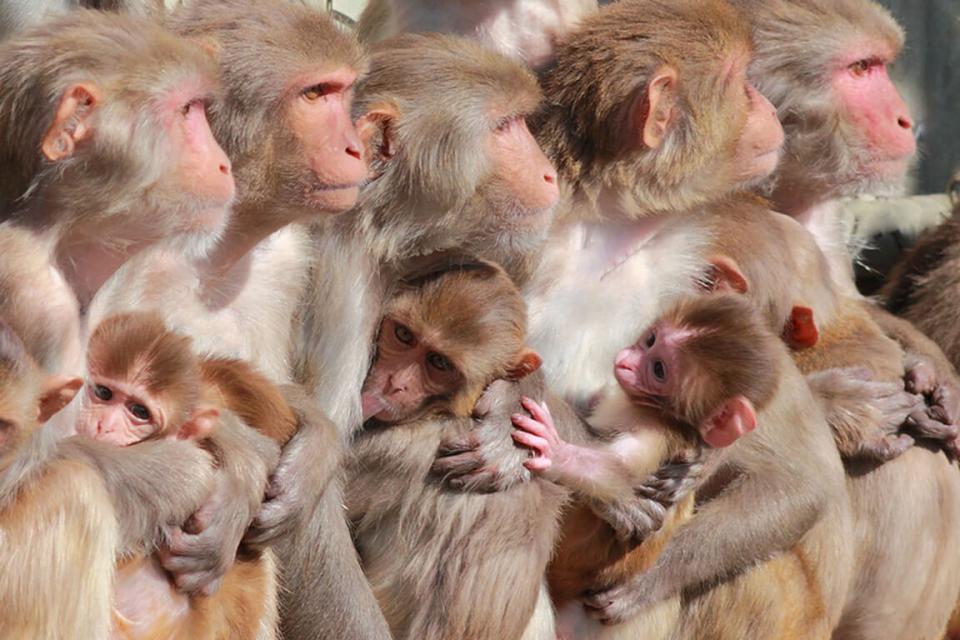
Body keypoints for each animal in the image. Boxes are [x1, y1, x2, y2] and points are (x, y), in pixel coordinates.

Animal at [516, 296, 848, 640]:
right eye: (650, 340)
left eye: (658, 369)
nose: (626, 360)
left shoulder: (656, 427)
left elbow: (618, 471)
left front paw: (556, 452)